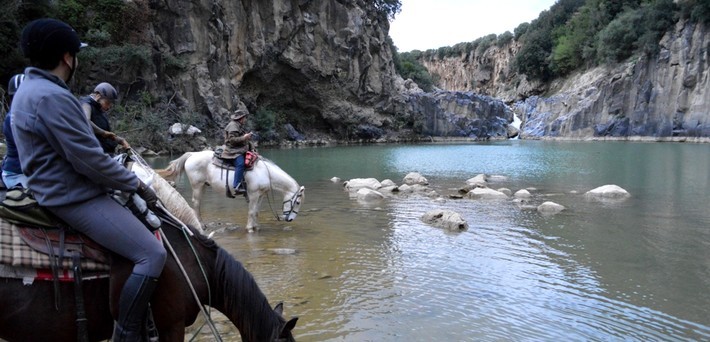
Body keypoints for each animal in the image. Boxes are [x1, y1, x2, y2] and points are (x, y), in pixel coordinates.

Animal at [157, 152, 304, 232]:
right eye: (297, 202)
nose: (290, 219)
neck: (265, 173)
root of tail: (193, 154)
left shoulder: (260, 195)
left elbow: (256, 212)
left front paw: (257, 227)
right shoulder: (253, 194)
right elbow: (251, 212)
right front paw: (250, 228)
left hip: (203, 185)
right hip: (197, 185)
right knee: (196, 203)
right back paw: (202, 225)